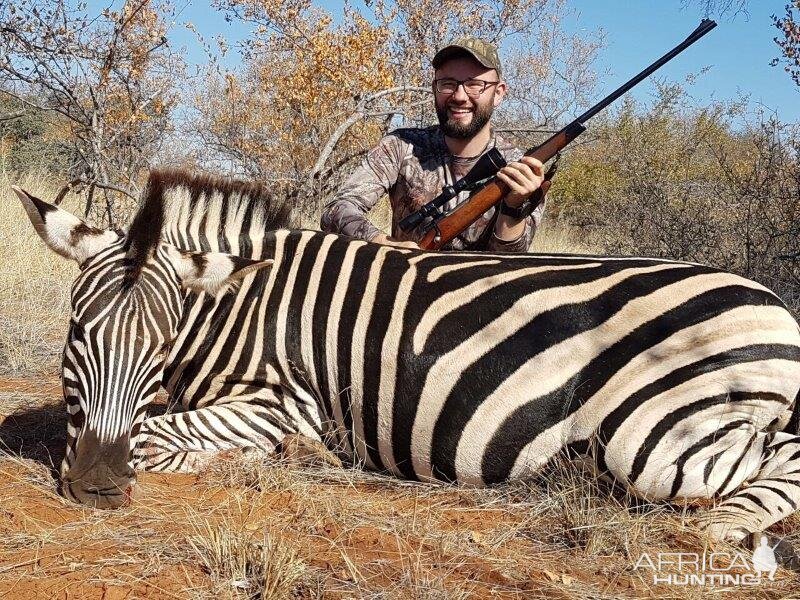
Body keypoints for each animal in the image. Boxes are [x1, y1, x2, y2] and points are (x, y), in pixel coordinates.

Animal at [9, 168, 800, 552]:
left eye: (161, 346)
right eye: (76, 334)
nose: (99, 487)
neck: (242, 304)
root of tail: (771, 301)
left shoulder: (286, 401)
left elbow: (157, 434)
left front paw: (287, 457)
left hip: (657, 437)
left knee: (769, 464)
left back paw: (717, 530)